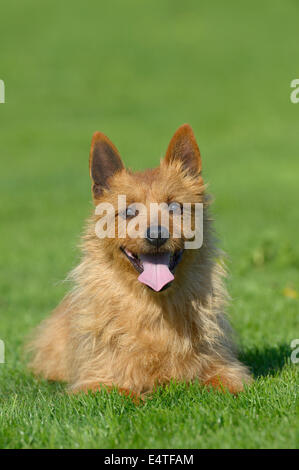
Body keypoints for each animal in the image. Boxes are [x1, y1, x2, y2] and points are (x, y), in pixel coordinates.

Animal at [28, 125, 253, 396]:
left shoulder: (228, 369)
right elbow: (122, 391)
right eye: (128, 211)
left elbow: (224, 384)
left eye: (175, 207)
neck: (155, 308)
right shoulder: (94, 381)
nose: (156, 235)